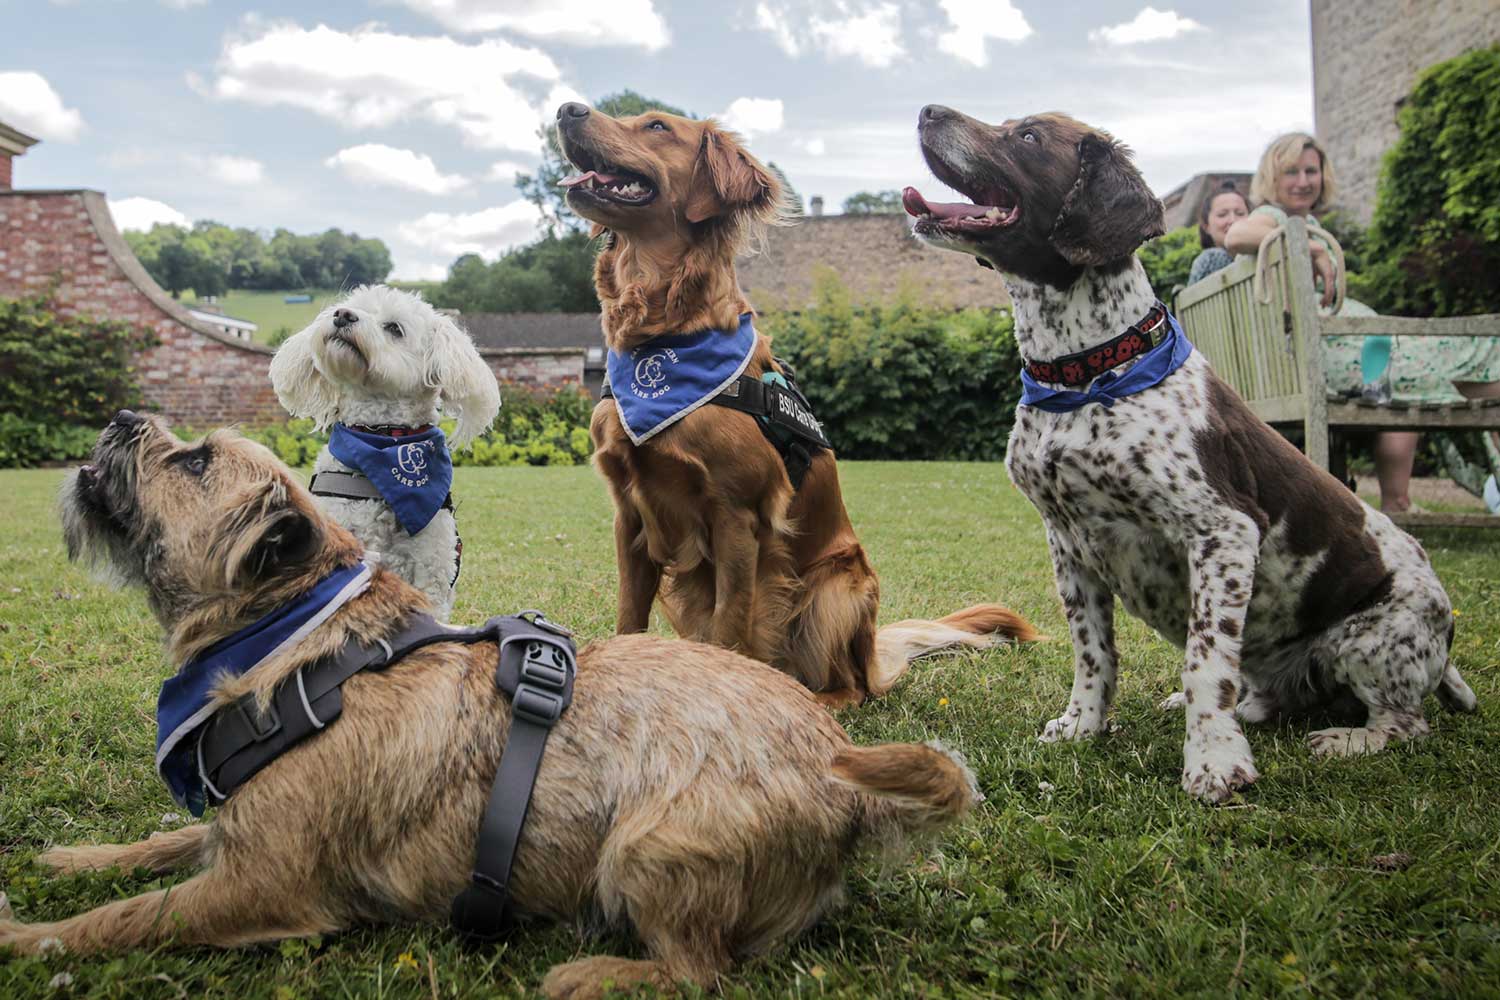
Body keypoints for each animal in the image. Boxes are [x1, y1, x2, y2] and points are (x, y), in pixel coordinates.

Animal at [0, 410, 978, 995]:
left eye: (195, 460)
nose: (122, 418)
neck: (299, 642)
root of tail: (841, 779)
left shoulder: (257, 885)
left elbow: (120, 921)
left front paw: (21, 937)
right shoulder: (238, 833)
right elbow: (160, 845)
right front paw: (81, 858)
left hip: (649, 848)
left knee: (701, 970)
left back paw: (595, 974)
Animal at [900, 103, 1476, 803]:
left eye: (1028, 136)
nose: (928, 110)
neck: (1088, 374)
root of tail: (1444, 644)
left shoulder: (1222, 531)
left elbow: (1204, 661)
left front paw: (1214, 762)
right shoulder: (1068, 545)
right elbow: (1093, 653)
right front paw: (1083, 727)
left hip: (1372, 640)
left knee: (1405, 723)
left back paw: (1347, 739)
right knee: (1266, 696)